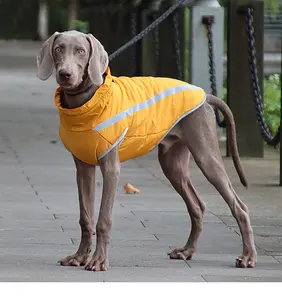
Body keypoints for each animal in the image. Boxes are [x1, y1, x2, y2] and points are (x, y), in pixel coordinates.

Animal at [36, 30, 256, 272]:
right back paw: (187, 251)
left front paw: (99, 261)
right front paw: (79, 257)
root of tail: (206, 96)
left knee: (239, 206)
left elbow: (104, 219)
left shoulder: (111, 168)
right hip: (172, 163)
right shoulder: (83, 168)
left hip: (206, 156)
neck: (86, 102)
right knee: (197, 206)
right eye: (58, 49)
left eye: (81, 51)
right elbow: (85, 217)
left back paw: (248, 257)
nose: (65, 74)